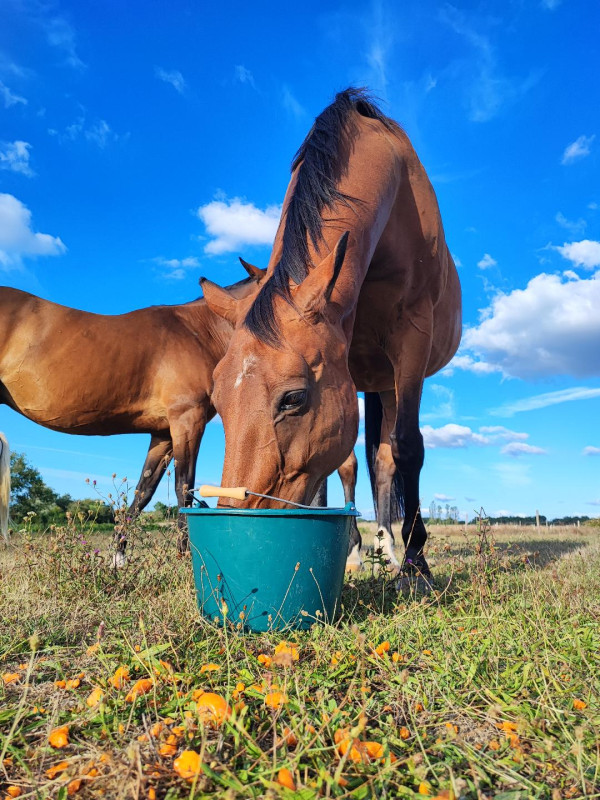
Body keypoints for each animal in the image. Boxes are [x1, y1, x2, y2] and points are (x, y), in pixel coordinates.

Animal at [203, 89, 464, 580]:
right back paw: (366, 548)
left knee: (388, 458)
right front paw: (352, 548)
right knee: (361, 464)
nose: (240, 513)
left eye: (294, 398)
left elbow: (408, 447)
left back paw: (392, 550)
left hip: (391, 378)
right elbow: (340, 465)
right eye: (217, 400)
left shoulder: (412, 341)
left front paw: (417, 562)